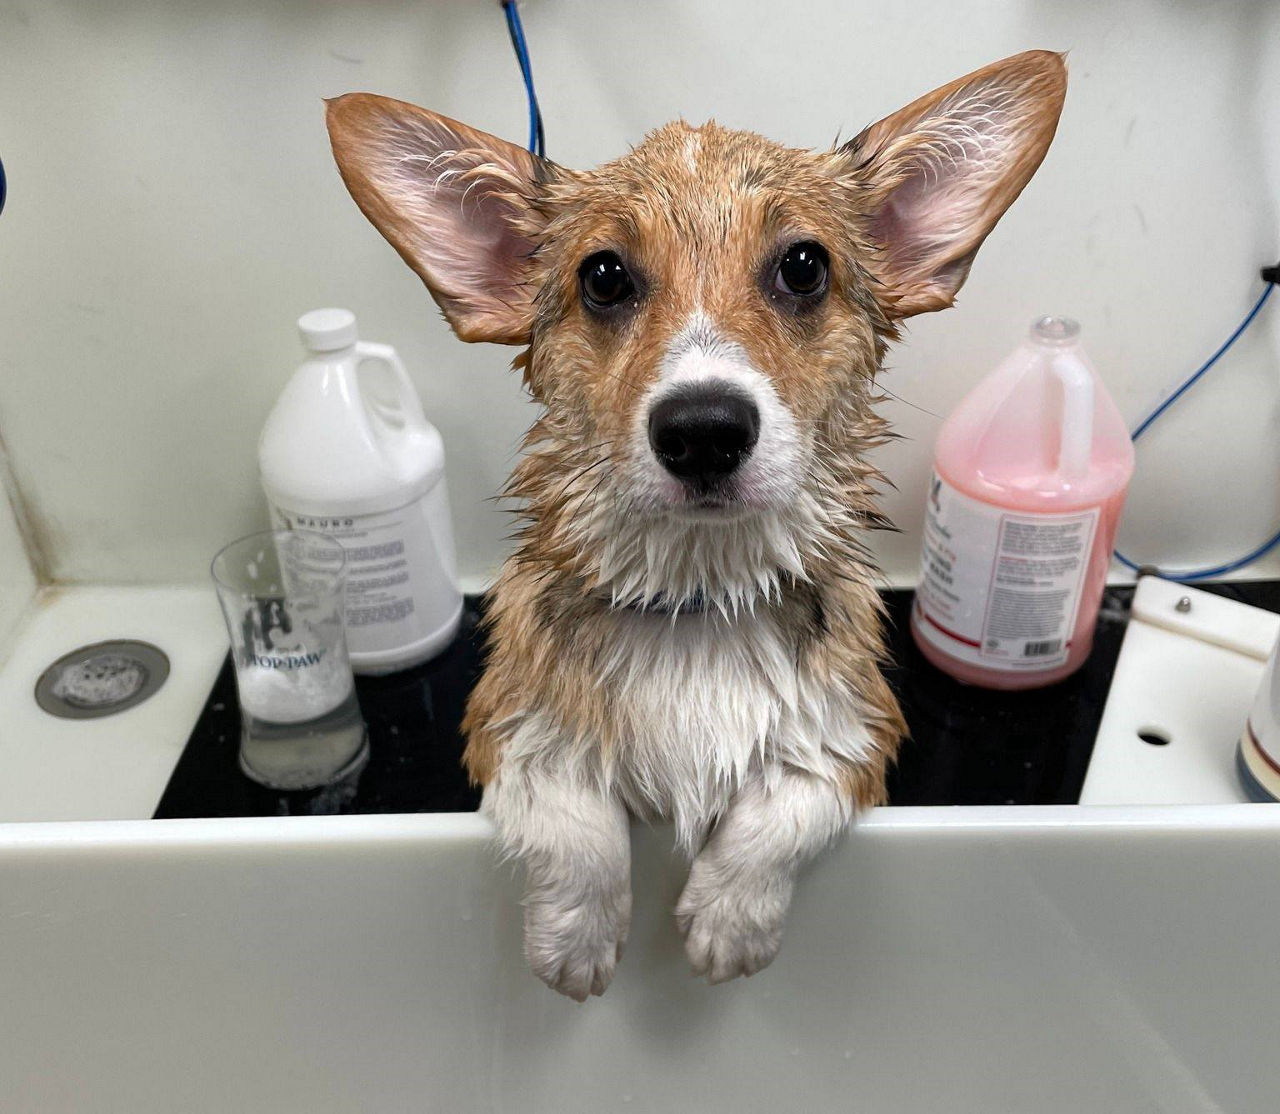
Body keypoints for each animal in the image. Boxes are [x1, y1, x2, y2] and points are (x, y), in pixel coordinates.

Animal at [325, 50, 1064, 1003]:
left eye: (803, 266)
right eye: (603, 277)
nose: (704, 428)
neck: (699, 599)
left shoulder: (859, 736)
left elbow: (781, 808)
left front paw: (728, 924)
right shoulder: (503, 727)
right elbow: (572, 819)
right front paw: (574, 939)